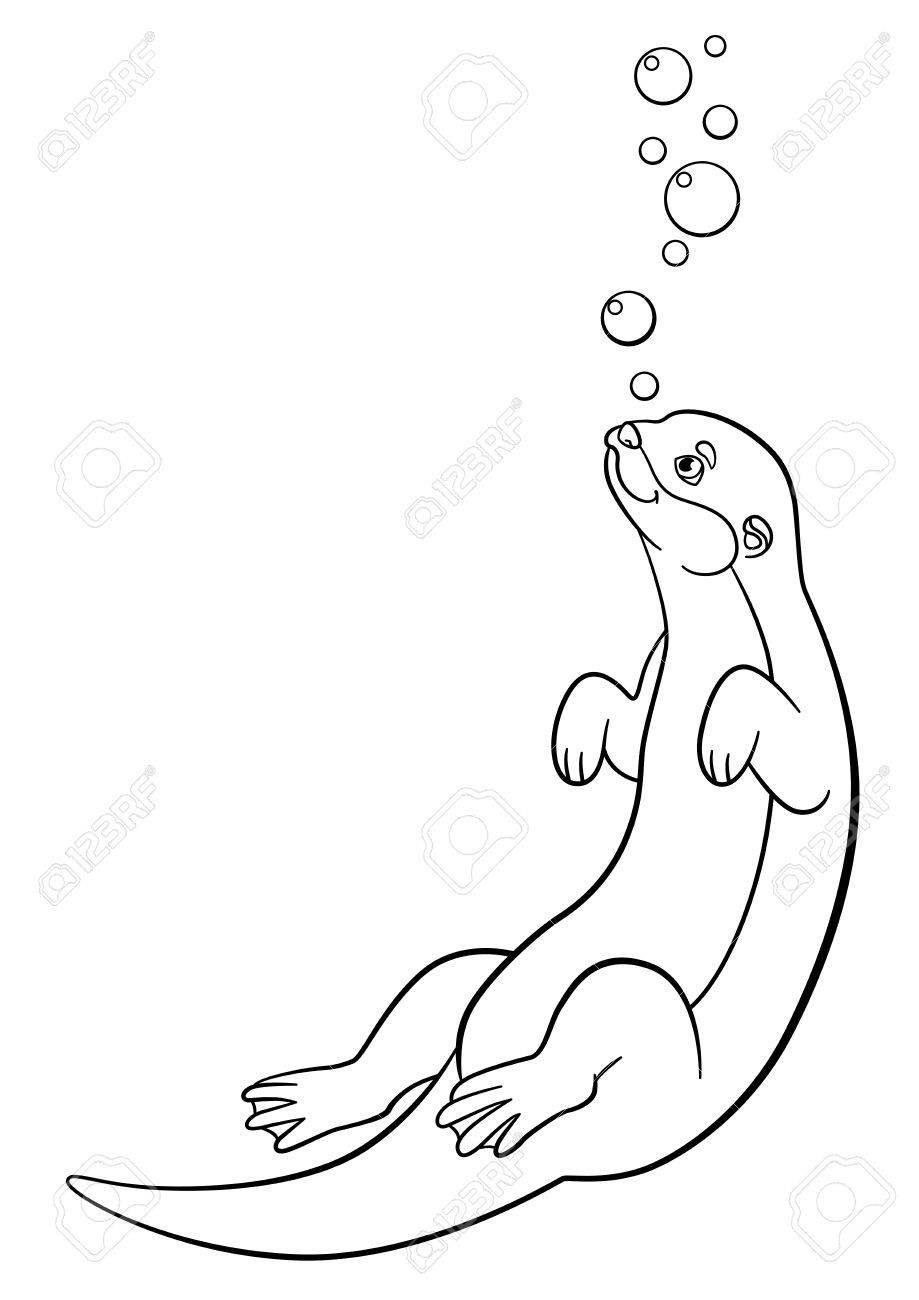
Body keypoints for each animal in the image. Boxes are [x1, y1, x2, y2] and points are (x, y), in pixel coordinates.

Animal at [68, 411, 857, 1259]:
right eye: (655, 424)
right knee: (442, 990)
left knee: (615, 1003)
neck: (717, 632)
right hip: (478, 981)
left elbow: (793, 757)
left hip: (664, 1070)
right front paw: (580, 738)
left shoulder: (802, 693)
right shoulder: (656, 665)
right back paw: (324, 1094)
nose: (622, 431)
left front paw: (722, 735)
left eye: (689, 463)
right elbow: (616, 708)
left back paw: (515, 1093)